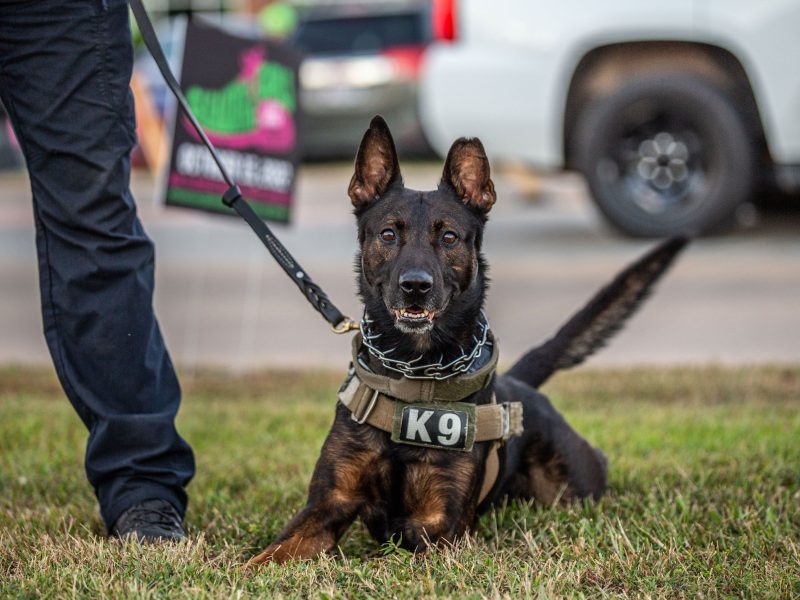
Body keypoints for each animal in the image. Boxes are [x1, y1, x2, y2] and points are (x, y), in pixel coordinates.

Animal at [252, 116, 688, 564]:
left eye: (449, 237)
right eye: (389, 234)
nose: (415, 287)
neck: (413, 373)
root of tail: (519, 383)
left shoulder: (438, 530)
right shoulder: (327, 504)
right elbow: (266, 557)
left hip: (571, 485)